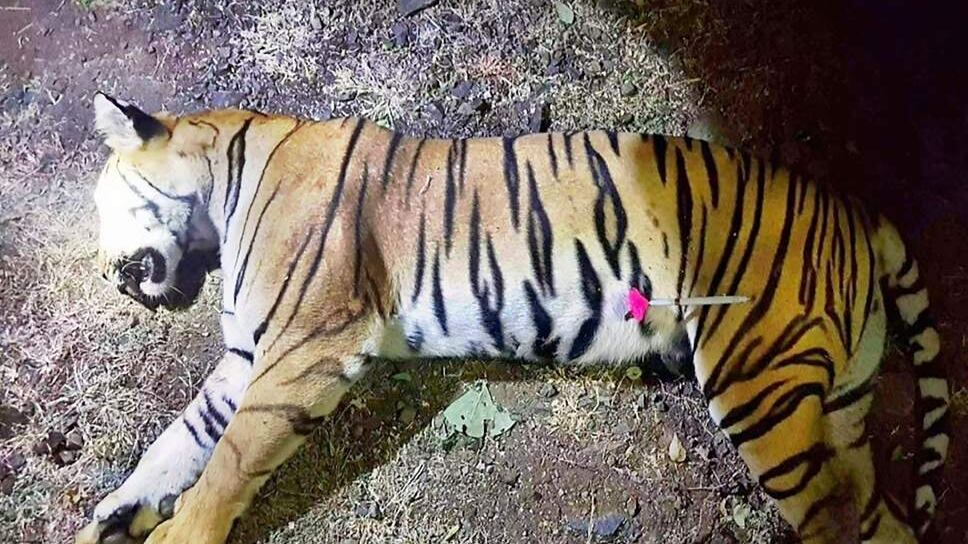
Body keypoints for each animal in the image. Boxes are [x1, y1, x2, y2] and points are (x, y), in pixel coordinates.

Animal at [76, 92, 948, 544]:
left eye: (102, 201)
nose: (109, 278)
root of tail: (855, 211)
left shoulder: (303, 349)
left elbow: (224, 465)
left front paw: (177, 532)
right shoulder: (247, 358)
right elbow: (175, 447)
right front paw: (110, 521)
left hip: (759, 385)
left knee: (837, 519)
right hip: (838, 402)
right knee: (880, 516)